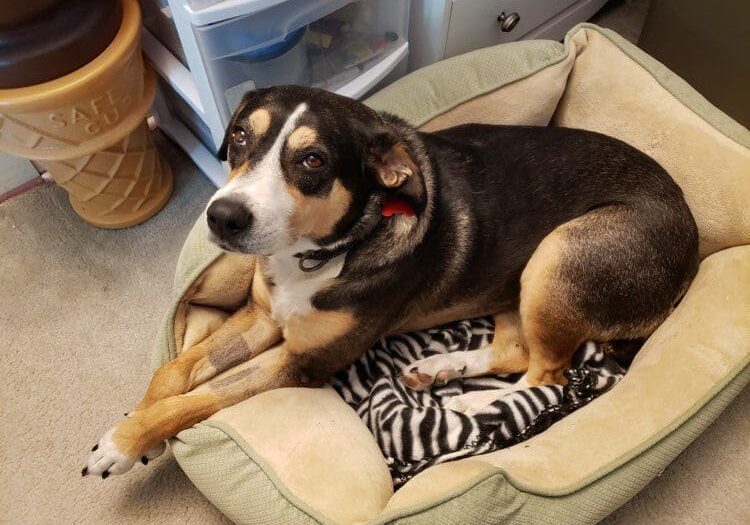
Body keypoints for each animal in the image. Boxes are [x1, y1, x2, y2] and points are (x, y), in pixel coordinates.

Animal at [85, 85, 704, 474]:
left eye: (313, 160)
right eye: (238, 136)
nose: (223, 217)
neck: (322, 253)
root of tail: (692, 245)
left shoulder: (303, 362)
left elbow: (200, 398)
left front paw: (122, 443)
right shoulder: (262, 316)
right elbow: (174, 370)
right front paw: (136, 420)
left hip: (560, 255)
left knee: (547, 373)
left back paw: (473, 408)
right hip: (520, 279)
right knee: (516, 350)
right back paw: (442, 368)